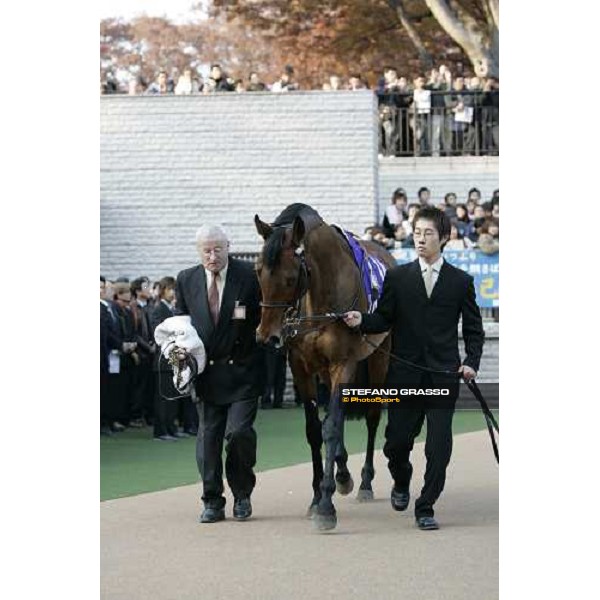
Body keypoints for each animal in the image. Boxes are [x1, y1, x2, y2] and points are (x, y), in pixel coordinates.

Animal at [254, 205, 398, 528]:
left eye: (291, 276)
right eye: (258, 271)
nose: (267, 336)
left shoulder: (343, 363)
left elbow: (331, 426)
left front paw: (326, 506)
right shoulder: (302, 367)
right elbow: (314, 429)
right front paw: (317, 495)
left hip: (379, 356)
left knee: (371, 417)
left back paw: (364, 482)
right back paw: (343, 473)